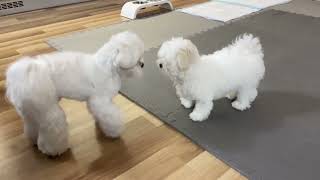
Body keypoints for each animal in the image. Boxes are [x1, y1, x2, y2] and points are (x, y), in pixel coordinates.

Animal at [5, 31, 145, 156]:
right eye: (137, 60)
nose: (143, 64)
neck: (106, 68)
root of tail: (24, 76)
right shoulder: (101, 102)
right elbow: (112, 117)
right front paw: (115, 132)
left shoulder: (96, 101)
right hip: (48, 110)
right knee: (52, 128)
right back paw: (54, 150)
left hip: (32, 110)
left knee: (32, 124)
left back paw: (33, 140)